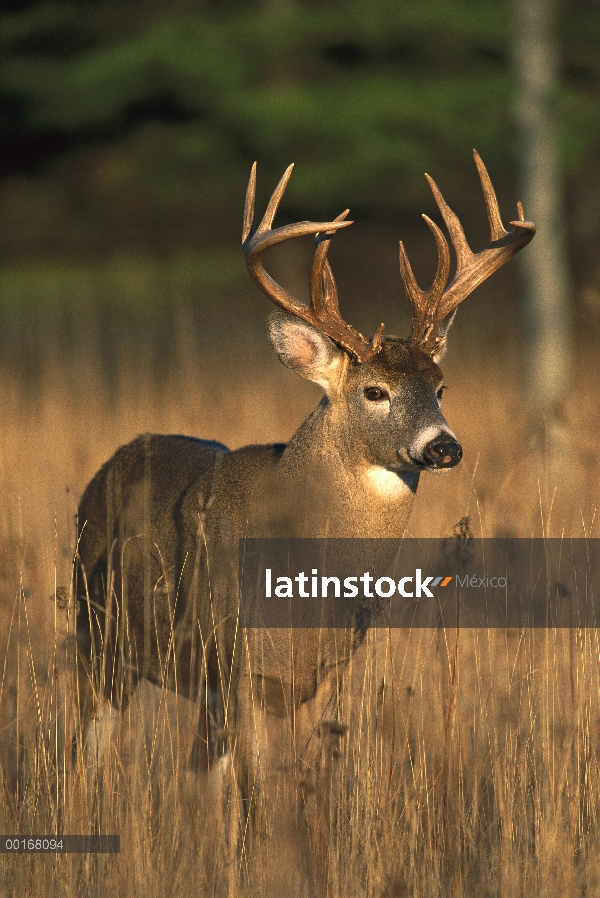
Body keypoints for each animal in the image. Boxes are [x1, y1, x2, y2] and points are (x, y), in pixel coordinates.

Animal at [75, 152, 536, 888]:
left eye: (441, 387)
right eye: (374, 391)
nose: (444, 446)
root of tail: (109, 464)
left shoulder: (316, 678)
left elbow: (310, 797)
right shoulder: (238, 663)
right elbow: (260, 806)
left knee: (193, 779)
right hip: (99, 639)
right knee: (89, 756)